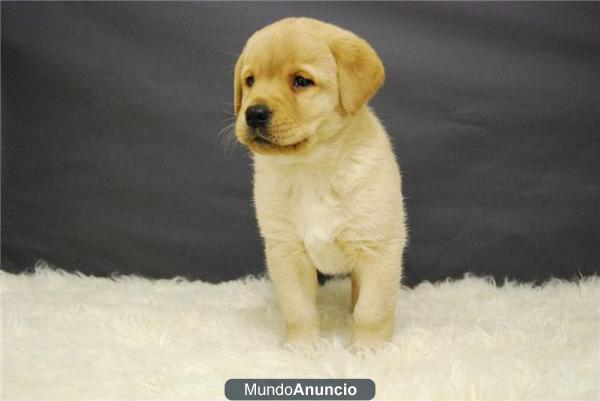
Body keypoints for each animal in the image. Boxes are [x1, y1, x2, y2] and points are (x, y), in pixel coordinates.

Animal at [232, 17, 406, 346]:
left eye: (301, 81)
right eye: (250, 81)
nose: (254, 113)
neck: (311, 168)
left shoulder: (378, 250)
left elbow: (371, 311)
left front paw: (369, 350)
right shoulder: (287, 251)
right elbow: (298, 310)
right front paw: (301, 348)